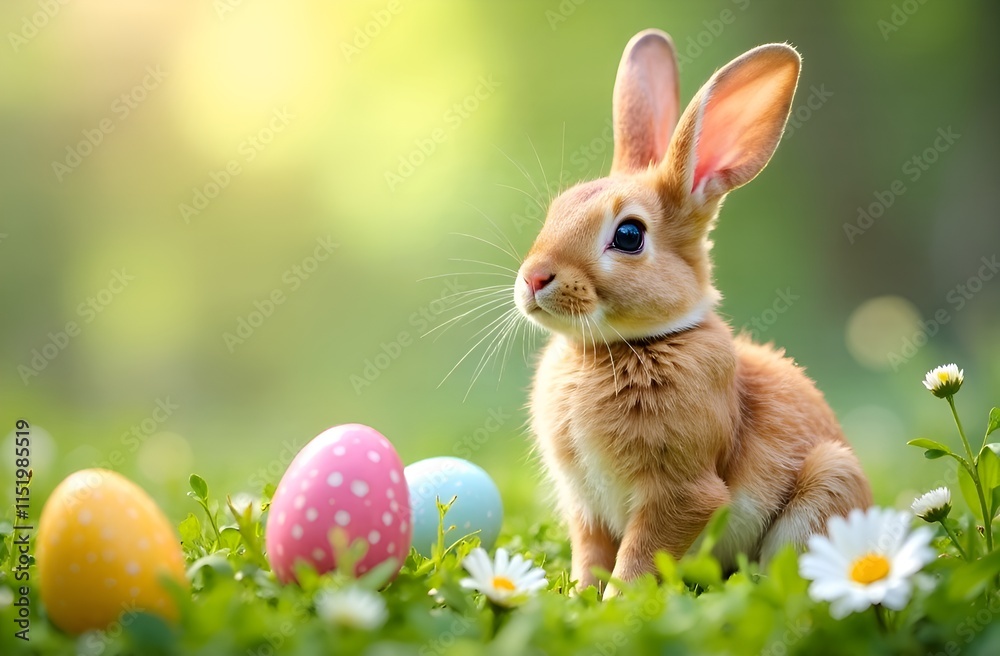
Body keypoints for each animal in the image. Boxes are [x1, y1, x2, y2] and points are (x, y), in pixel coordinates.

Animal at [513, 29, 872, 597]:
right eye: (556, 211)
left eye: (629, 235)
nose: (533, 278)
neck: (622, 346)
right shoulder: (585, 506)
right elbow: (591, 555)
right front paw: (582, 598)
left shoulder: (680, 493)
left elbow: (638, 558)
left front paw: (617, 603)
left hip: (827, 485)